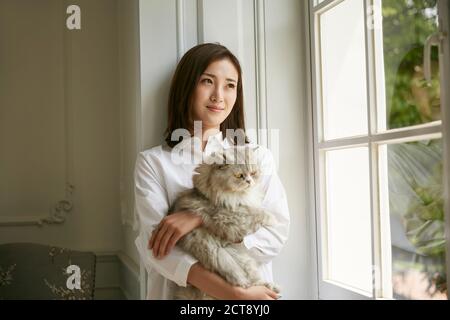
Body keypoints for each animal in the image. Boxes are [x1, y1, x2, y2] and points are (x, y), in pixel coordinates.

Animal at [170, 146, 280, 298]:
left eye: (253, 173)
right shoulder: (228, 215)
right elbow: (258, 213)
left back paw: (273, 287)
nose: (249, 181)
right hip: (223, 255)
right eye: (239, 176)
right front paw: (273, 220)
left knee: (255, 281)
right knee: (245, 282)